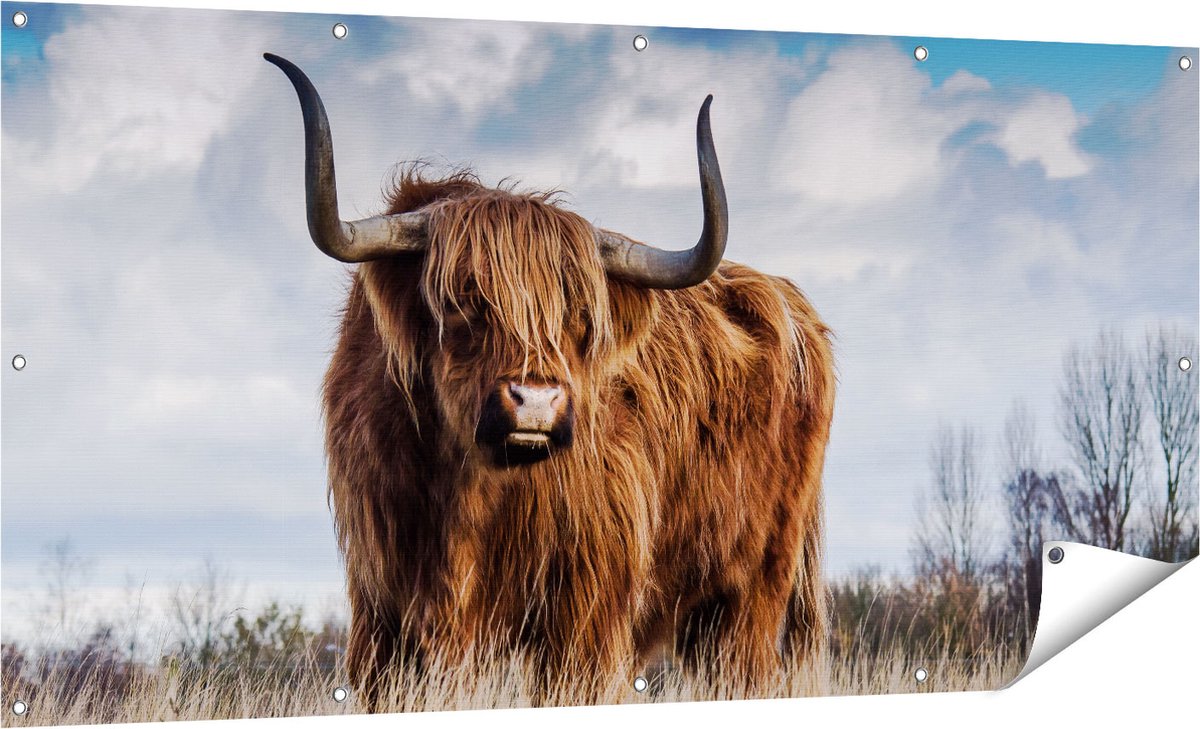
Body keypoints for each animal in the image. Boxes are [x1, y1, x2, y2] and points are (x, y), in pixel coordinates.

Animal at [265, 53, 835, 706]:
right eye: (463, 300)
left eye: (580, 315)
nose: (535, 401)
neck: (466, 495)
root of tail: (794, 307)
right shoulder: (382, 606)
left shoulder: (583, 612)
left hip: (754, 592)